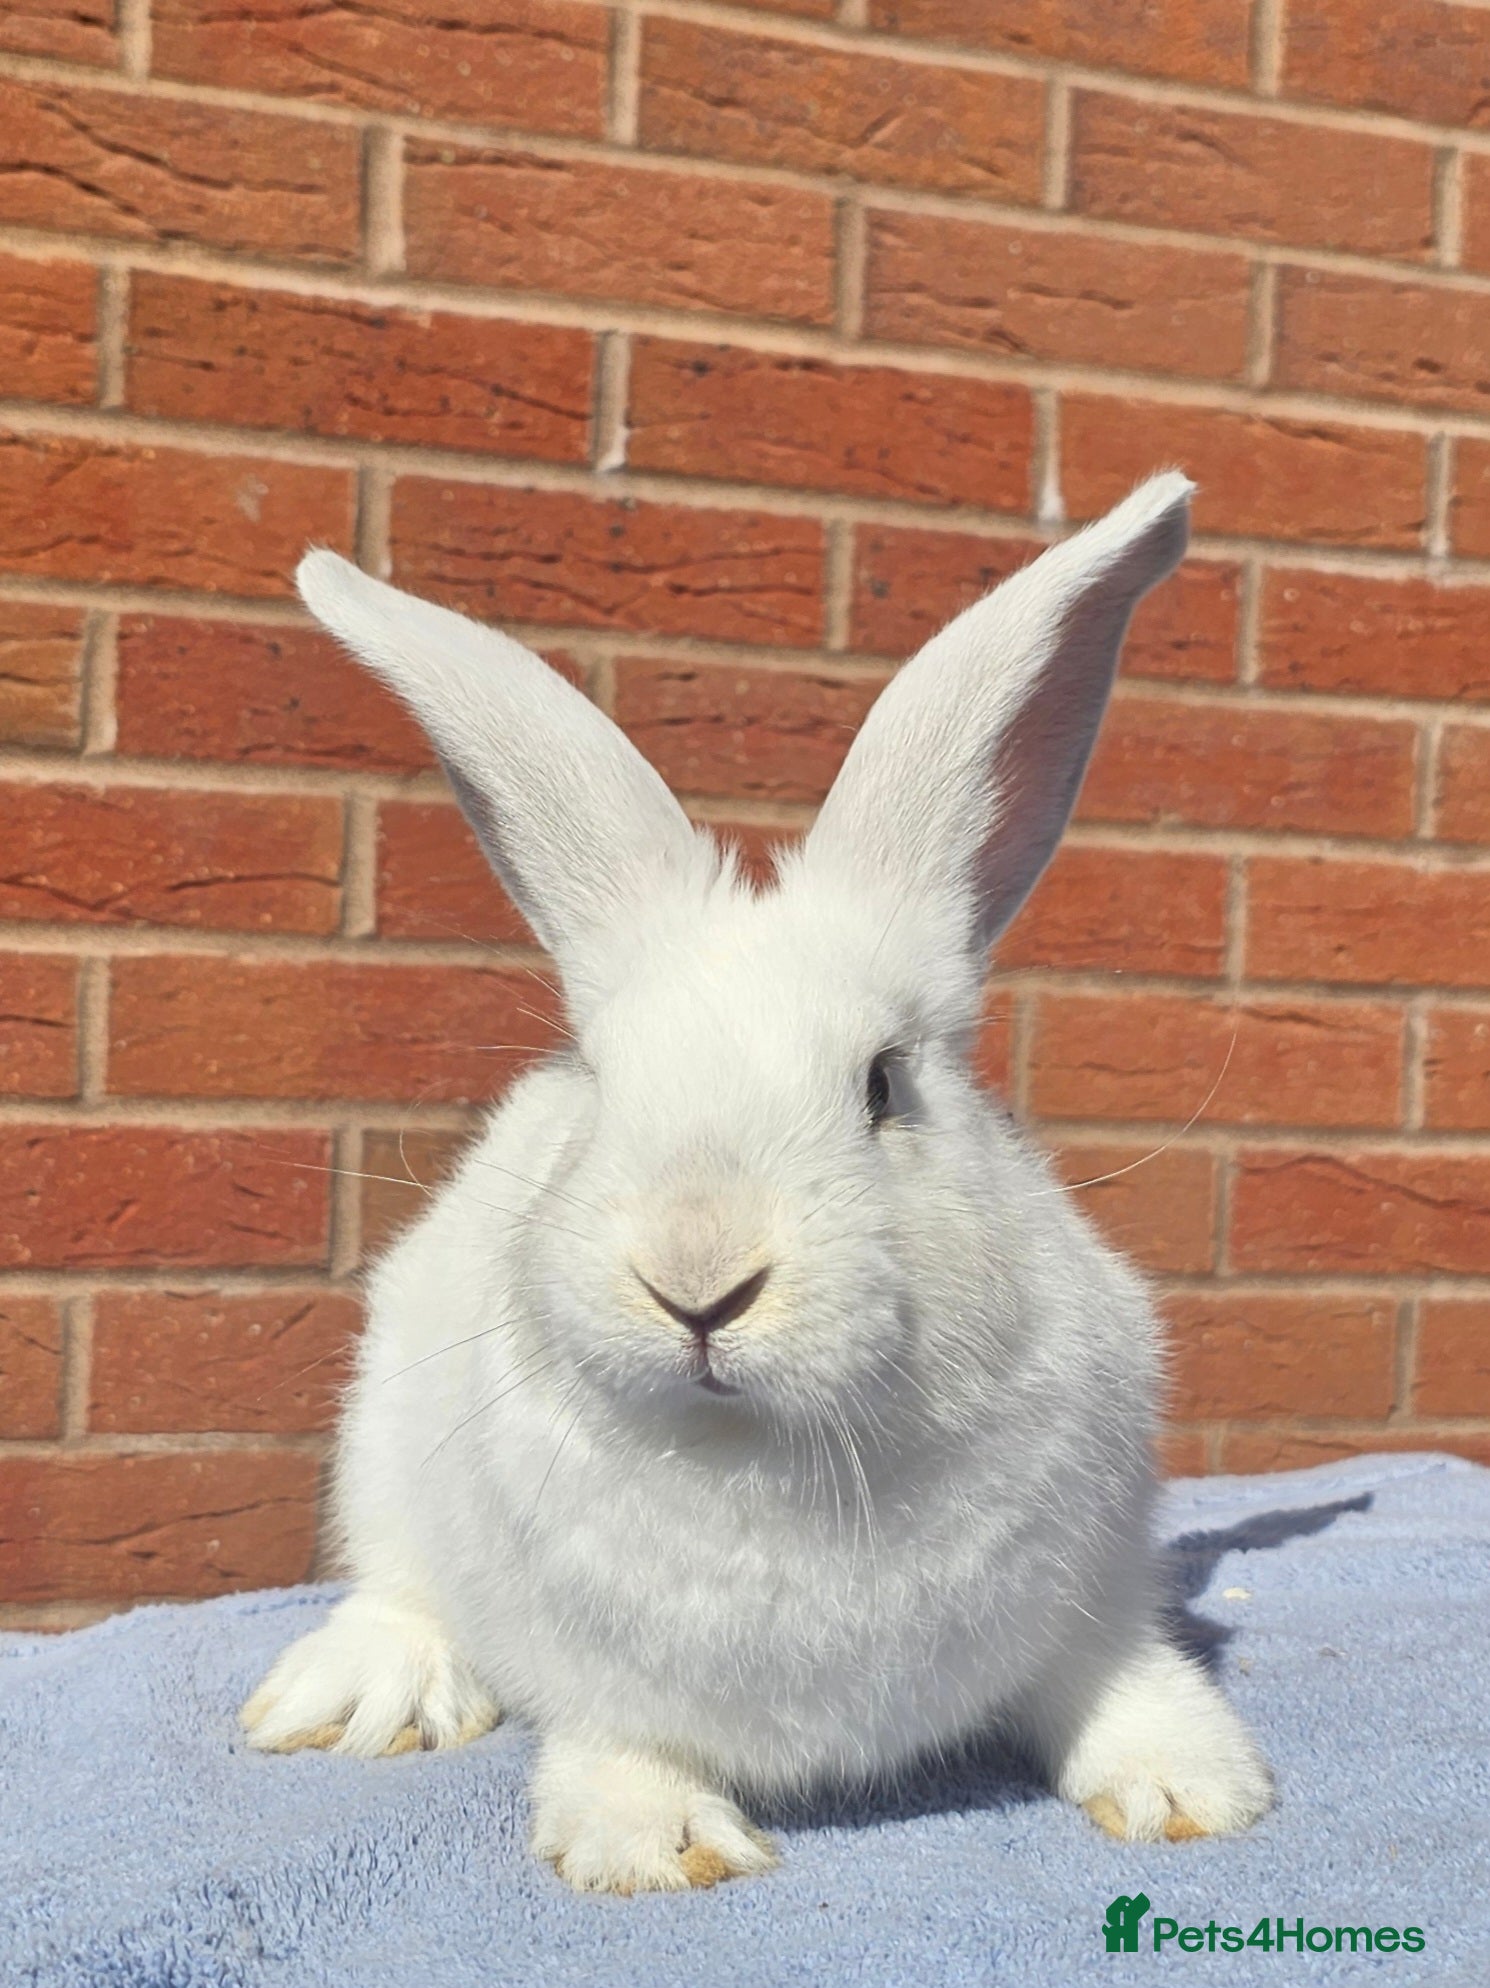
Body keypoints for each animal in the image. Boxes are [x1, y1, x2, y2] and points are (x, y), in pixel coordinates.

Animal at [240, 471, 1272, 1893]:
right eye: (600, 1077)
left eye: (882, 1084)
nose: (697, 1279)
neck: (772, 1457)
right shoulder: (596, 1669)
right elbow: (617, 1737)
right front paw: (653, 1843)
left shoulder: (1094, 1588)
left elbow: (1114, 1674)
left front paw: (1191, 1788)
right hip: (380, 1440)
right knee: (395, 1582)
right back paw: (357, 1696)